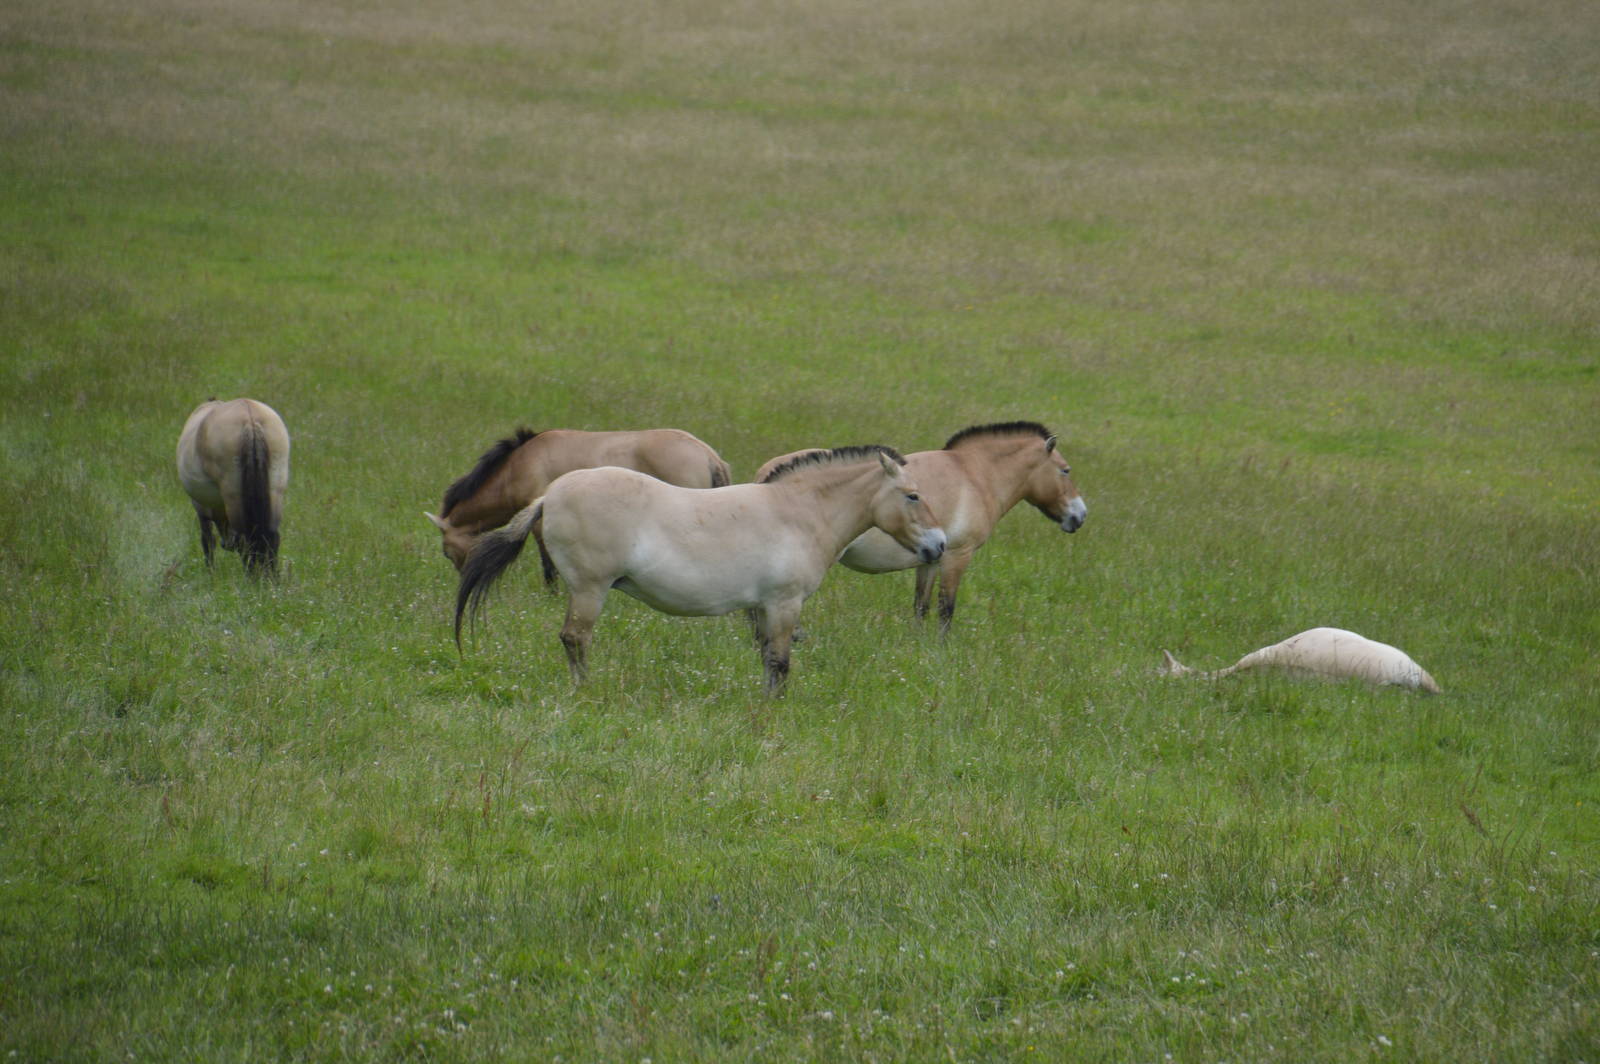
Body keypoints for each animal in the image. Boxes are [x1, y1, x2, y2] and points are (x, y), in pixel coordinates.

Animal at [176, 398, 290, 576]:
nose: (227, 544)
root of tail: (250, 418)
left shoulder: (200, 508)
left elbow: (207, 541)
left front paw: (211, 574)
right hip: (274, 493)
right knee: (272, 538)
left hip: (233, 498)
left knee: (245, 540)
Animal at [425, 427, 732, 580]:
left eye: (446, 552)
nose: (464, 576)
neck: (516, 466)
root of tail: (709, 456)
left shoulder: (538, 518)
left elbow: (547, 560)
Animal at [455, 446, 946, 695]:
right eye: (913, 496)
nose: (939, 545)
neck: (798, 512)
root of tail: (549, 495)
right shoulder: (783, 605)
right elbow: (781, 662)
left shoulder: (763, 609)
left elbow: (767, 659)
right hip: (589, 590)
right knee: (575, 639)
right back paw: (586, 691)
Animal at [755, 421, 1086, 631]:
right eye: (1065, 471)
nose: (1080, 515)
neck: (975, 475)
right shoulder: (956, 556)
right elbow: (946, 608)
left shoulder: (931, 560)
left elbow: (921, 606)